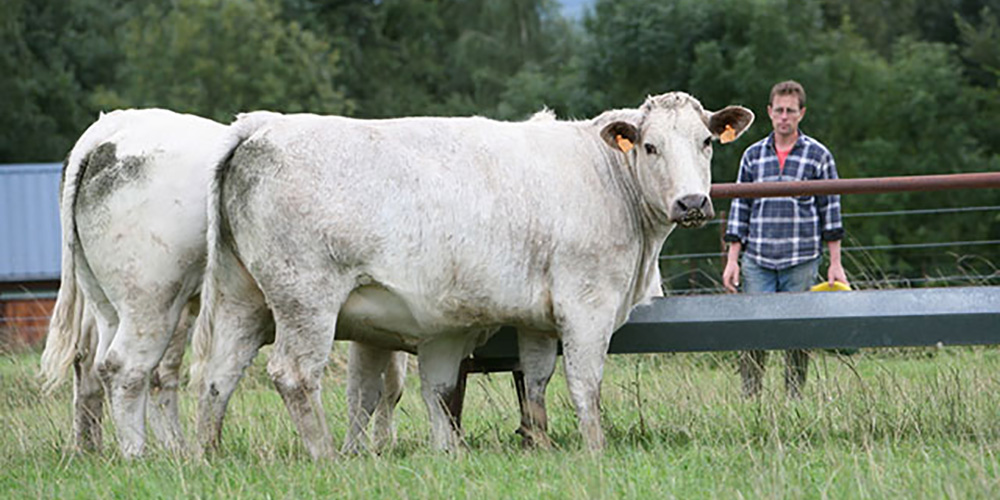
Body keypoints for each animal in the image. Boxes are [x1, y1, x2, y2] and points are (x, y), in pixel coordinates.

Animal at [189, 91, 752, 458]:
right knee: (293, 374)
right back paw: (325, 455)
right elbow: (585, 382)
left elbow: (537, 379)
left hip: (243, 297)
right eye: (650, 146)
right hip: (305, 299)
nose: (692, 202)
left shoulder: (537, 316)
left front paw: (538, 443)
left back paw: (208, 453)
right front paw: (595, 449)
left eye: (705, 141)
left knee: (219, 374)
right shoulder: (586, 302)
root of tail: (261, 125)